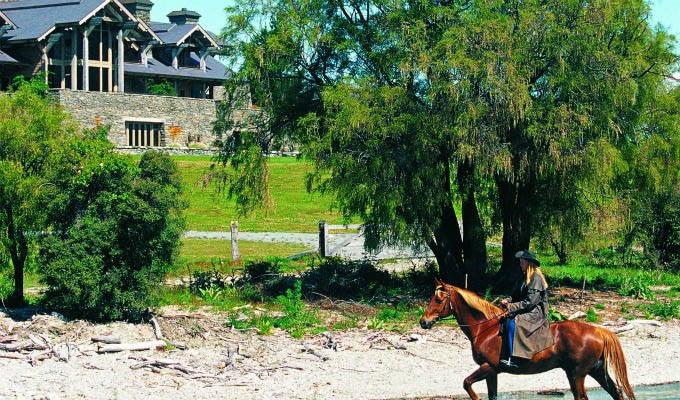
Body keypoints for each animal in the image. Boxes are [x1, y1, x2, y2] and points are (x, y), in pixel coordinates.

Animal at [418, 278, 636, 400]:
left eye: (439, 299)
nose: (423, 321)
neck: (486, 329)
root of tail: (599, 331)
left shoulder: (490, 367)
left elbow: (466, 384)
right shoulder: (492, 372)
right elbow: (491, 395)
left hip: (577, 375)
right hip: (595, 371)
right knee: (617, 393)